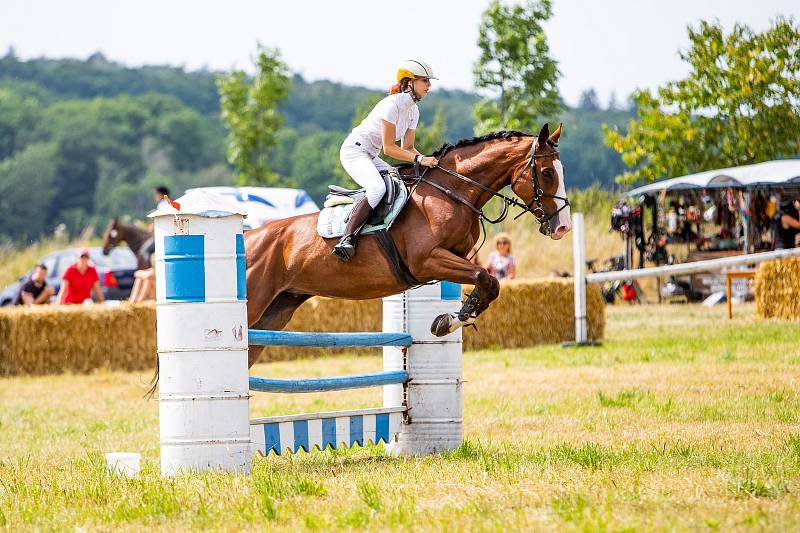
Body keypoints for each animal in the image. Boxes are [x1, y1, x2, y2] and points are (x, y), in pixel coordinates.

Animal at [242, 123, 568, 366]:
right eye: (547, 173)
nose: (562, 227)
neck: (451, 191)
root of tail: (249, 236)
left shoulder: (455, 257)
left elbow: (488, 282)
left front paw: (454, 317)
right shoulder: (427, 261)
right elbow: (485, 277)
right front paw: (452, 320)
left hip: (276, 311)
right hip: (255, 305)